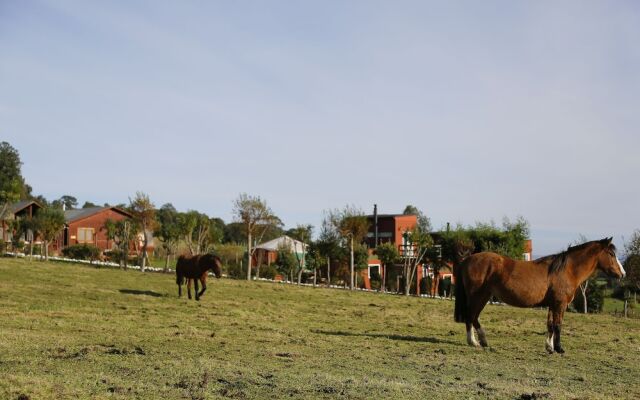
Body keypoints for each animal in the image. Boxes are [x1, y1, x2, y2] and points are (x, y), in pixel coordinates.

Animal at [456, 238, 624, 354]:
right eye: (611, 254)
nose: (622, 273)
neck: (567, 270)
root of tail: (467, 259)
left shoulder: (552, 304)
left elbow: (550, 325)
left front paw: (549, 347)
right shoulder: (560, 304)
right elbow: (558, 325)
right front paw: (559, 348)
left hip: (483, 296)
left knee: (473, 317)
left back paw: (481, 341)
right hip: (478, 296)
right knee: (471, 316)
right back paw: (475, 342)